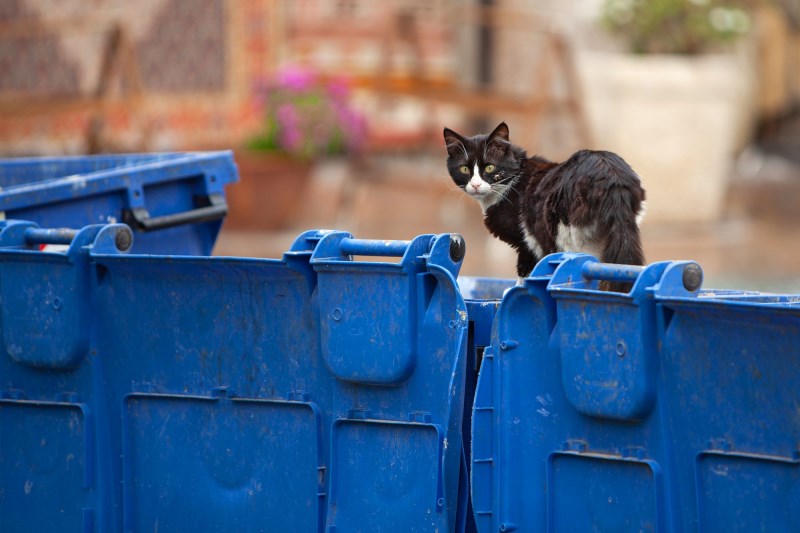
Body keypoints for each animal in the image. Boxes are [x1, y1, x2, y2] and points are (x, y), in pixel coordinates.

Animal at [446, 122, 648, 288]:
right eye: (464, 169)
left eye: (490, 167)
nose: (475, 185)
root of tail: (610, 178)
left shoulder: (527, 242)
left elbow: (525, 271)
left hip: (566, 233)